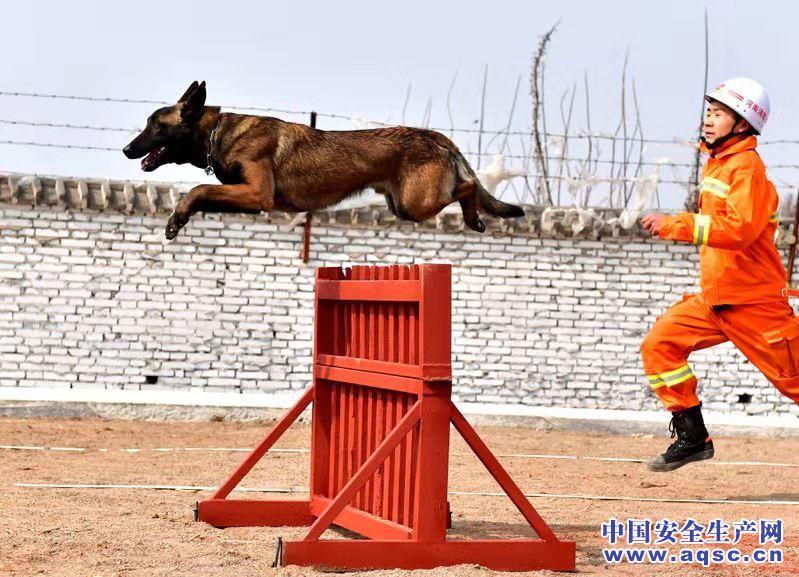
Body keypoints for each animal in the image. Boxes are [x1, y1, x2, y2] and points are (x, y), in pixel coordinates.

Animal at [122, 81, 524, 238]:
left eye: (154, 124)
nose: (127, 150)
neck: (217, 131)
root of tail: (434, 135)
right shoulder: (247, 198)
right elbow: (204, 193)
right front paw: (180, 218)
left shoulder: (257, 193)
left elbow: (198, 188)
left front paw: (177, 218)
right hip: (402, 205)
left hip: (415, 203)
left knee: (468, 187)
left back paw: (474, 218)